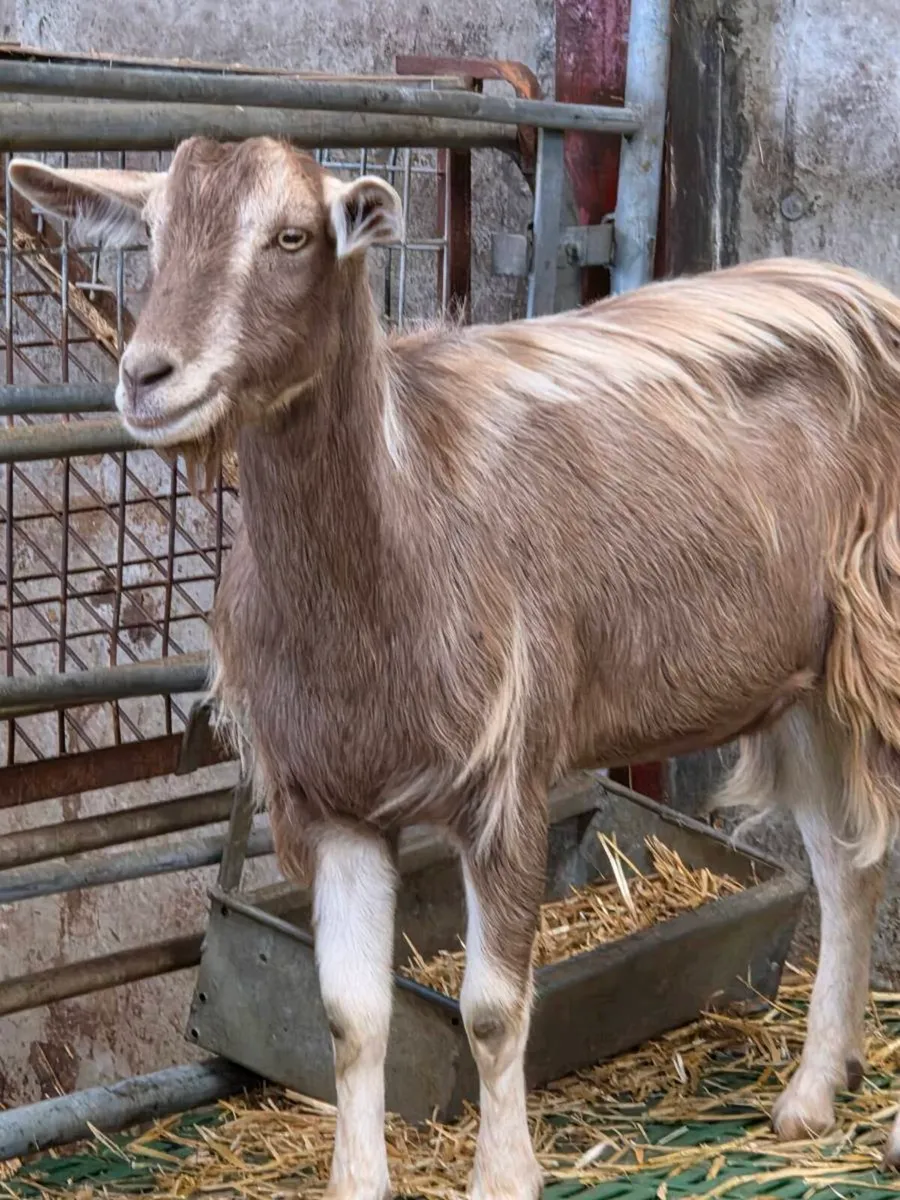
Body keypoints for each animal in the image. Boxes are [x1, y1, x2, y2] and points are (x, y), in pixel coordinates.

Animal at [11, 136, 900, 1199]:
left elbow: (491, 1009)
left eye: (293, 236)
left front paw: (505, 1176)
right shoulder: (333, 801)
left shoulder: (508, 778)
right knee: (847, 866)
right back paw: (813, 1093)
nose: (148, 375)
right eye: (149, 231)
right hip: (813, 682)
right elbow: (351, 1016)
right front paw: (357, 1181)